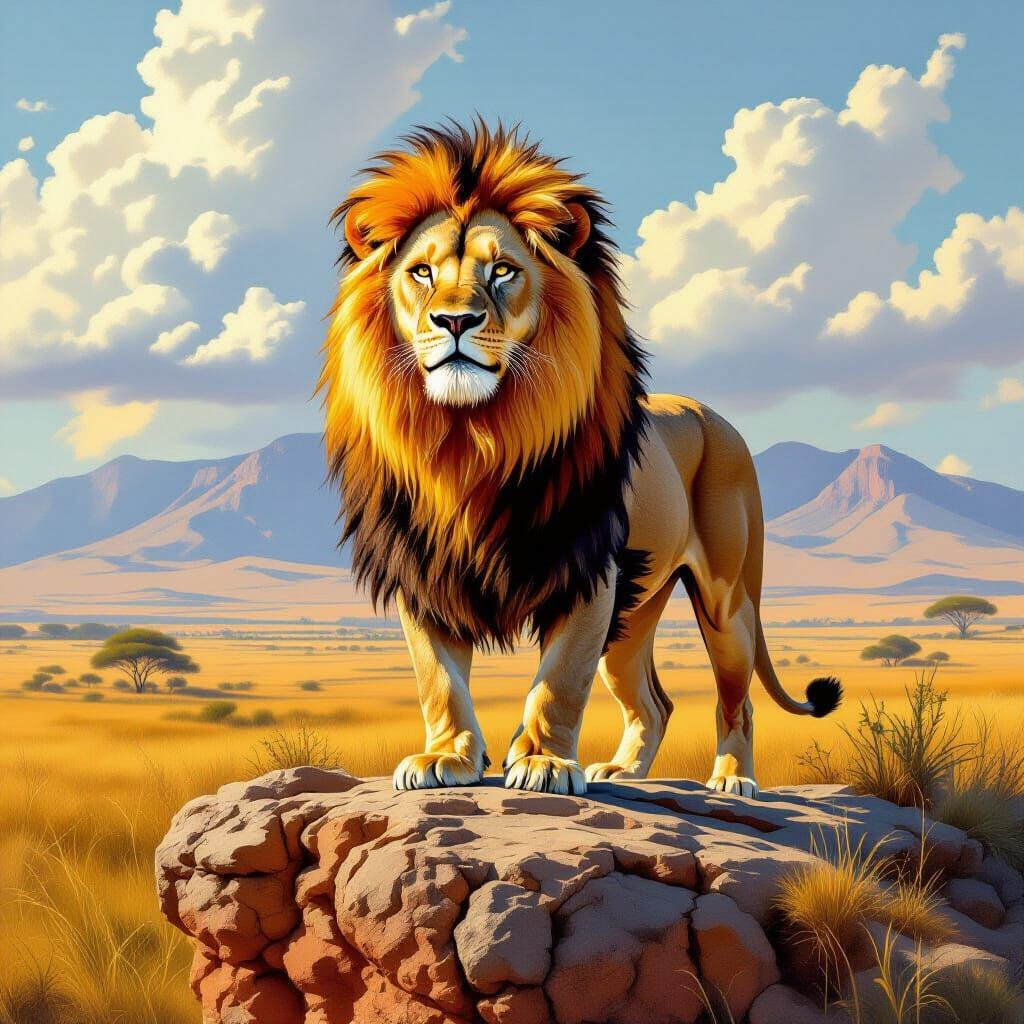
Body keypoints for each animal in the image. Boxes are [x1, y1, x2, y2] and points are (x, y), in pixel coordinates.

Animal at [318, 122, 841, 798]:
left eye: (504, 270)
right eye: (422, 272)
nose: (455, 320)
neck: (470, 442)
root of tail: (711, 414)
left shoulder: (589, 569)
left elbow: (560, 679)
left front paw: (543, 762)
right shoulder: (423, 570)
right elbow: (439, 680)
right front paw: (447, 757)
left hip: (726, 601)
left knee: (737, 698)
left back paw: (731, 780)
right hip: (636, 613)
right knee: (654, 702)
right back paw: (624, 771)